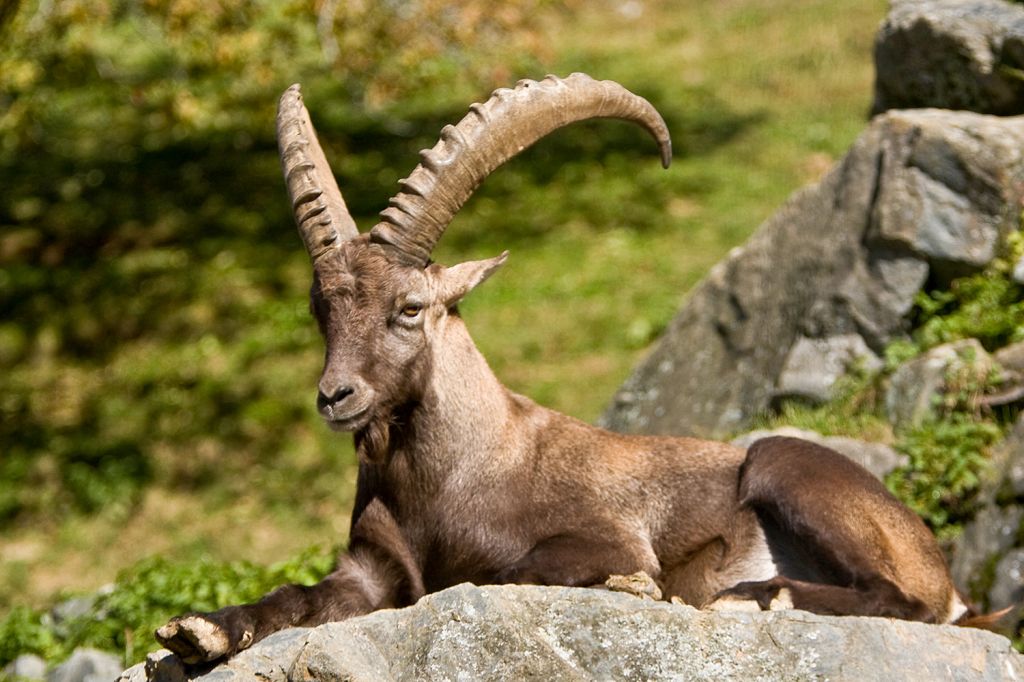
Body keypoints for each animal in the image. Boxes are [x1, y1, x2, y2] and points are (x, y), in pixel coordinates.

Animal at [153, 74, 983, 663]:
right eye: (319, 310)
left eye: (410, 308)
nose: (336, 396)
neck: (451, 480)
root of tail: (941, 569)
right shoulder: (369, 572)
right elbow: (295, 595)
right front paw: (201, 631)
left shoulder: (602, 535)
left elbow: (504, 575)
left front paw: (638, 589)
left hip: (786, 465)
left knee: (903, 602)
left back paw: (761, 596)